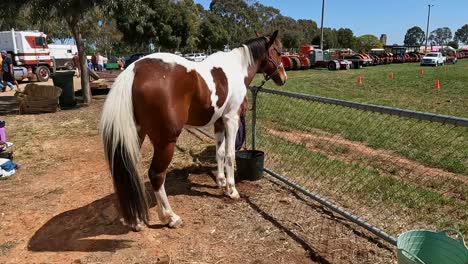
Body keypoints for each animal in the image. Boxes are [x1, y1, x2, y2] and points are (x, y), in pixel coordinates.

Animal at [100, 31, 288, 231]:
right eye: (278, 51)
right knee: (156, 175)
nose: (284, 77)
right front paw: (231, 189)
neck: (236, 69)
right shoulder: (231, 120)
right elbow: (230, 154)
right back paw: (170, 217)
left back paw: (136, 221)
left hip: (136, 134)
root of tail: (134, 70)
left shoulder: (219, 122)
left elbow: (220, 152)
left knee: (128, 171)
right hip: (166, 142)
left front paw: (220, 181)